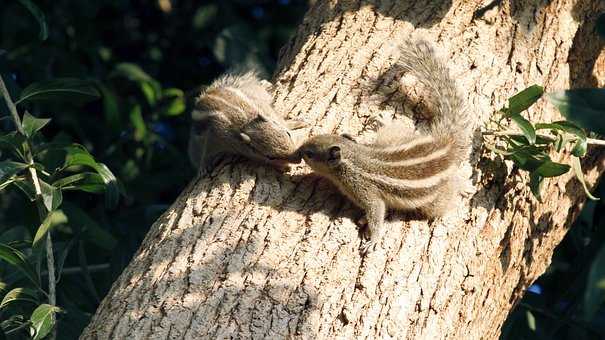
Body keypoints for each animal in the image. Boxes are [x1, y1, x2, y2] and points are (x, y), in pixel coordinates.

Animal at [292, 38, 472, 254]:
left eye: (310, 153)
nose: (299, 151)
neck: (352, 160)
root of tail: (443, 144)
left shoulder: (366, 192)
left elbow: (376, 213)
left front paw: (374, 239)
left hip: (436, 200)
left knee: (448, 192)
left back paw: (464, 186)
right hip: (396, 138)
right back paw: (382, 120)